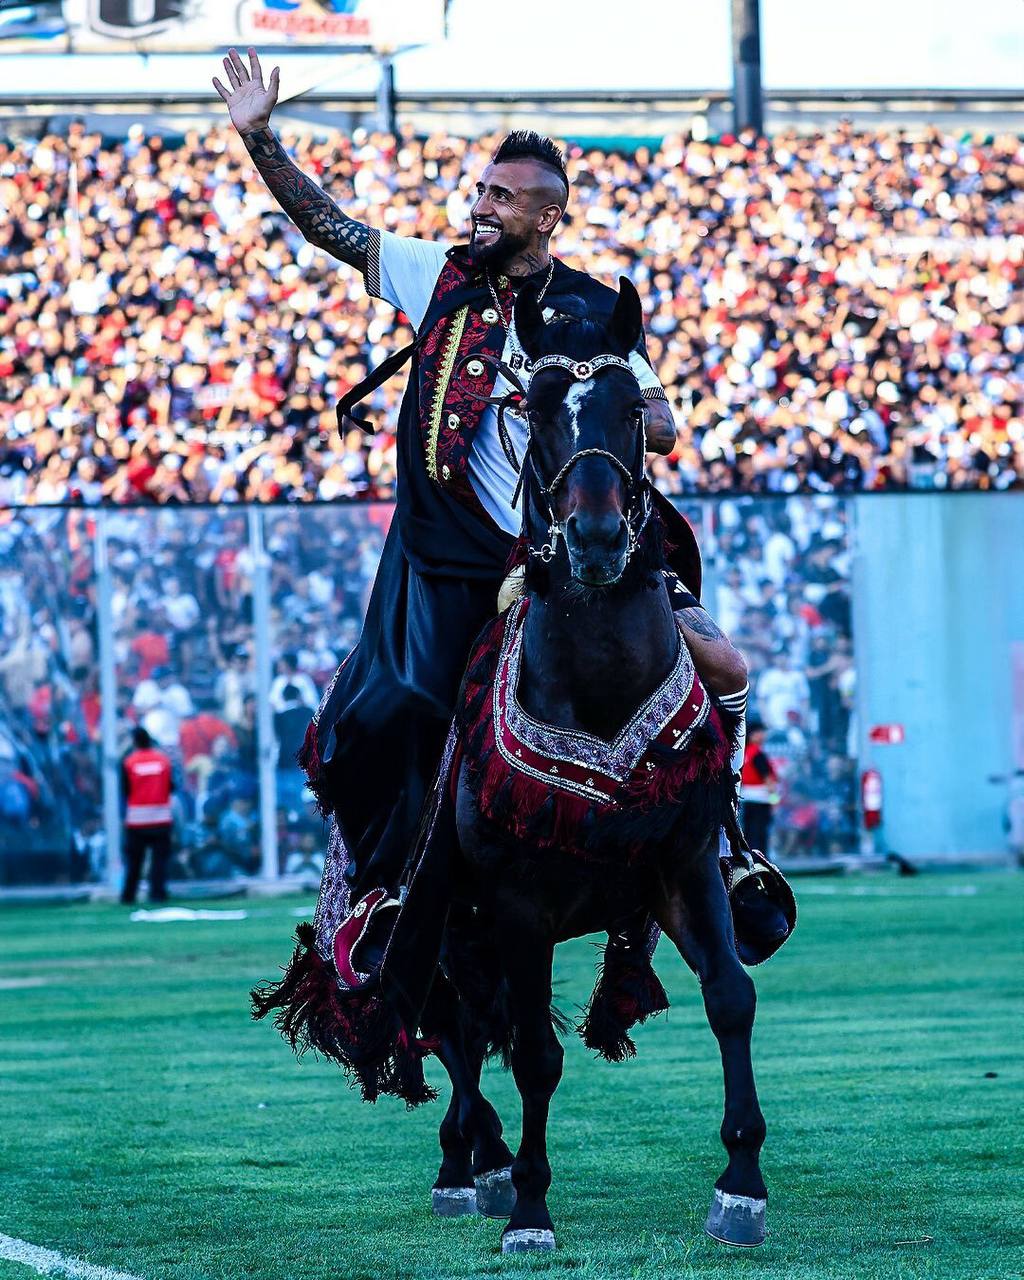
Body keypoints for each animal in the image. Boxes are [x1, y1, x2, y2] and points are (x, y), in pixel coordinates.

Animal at [412, 280, 762, 1249]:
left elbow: (731, 996)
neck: (599, 682)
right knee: (456, 1021)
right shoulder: (517, 899)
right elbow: (534, 1051)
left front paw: (742, 1185)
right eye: (534, 409)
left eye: (634, 409)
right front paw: (531, 1206)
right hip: (454, 910)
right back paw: (473, 1164)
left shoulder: (684, 864)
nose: (599, 539)